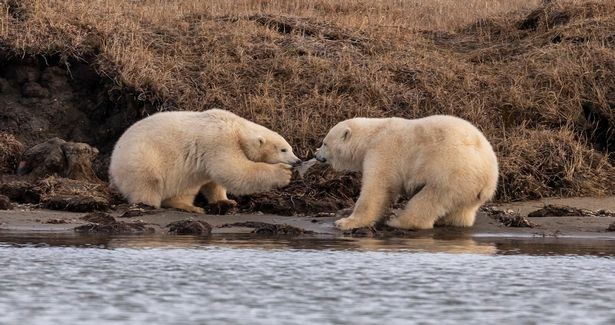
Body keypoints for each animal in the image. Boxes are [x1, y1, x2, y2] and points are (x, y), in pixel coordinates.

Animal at [111, 108, 304, 213]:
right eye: (284, 149)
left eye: (291, 148)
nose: (297, 161)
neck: (235, 127)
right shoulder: (220, 141)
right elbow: (233, 170)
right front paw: (283, 173)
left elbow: (214, 180)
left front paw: (226, 201)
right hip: (141, 157)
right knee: (147, 181)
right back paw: (150, 204)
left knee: (185, 187)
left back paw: (188, 205)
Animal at [316, 115, 498, 229]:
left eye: (325, 143)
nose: (316, 155)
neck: (372, 135)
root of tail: (489, 177)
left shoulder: (382, 152)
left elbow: (377, 188)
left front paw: (344, 222)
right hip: (469, 188)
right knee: (461, 210)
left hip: (452, 173)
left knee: (429, 200)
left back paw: (398, 221)